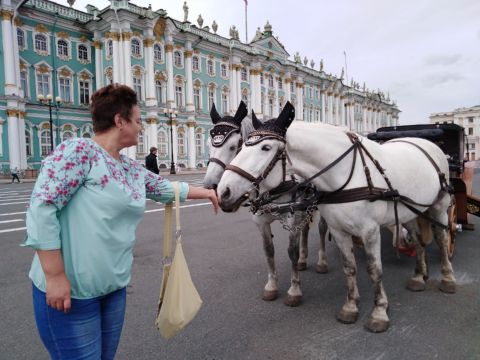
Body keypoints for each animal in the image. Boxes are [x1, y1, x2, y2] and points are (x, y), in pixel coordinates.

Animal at [202, 102, 330, 306]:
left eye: (233, 146)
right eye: (208, 144)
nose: (214, 187)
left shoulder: (292, 216)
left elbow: (291, 251)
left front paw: (294, 290)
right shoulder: (261, 220)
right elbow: (268, 251)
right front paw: (271, 286)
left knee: (322, 229)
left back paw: (321, 263)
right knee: (306, 230)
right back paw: (303, 260)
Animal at [216, 101, 456, 332]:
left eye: (265, 147)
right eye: (243, 146)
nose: (222, 191)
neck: (348, 174)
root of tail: (423, 142)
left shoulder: (370, 231)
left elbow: (374, 270)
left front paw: (379, 312)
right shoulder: (339, 230)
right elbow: (349, 267)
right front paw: (350, 306)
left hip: (440, 206)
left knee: (442, 237)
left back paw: (447, 278)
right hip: (412, 210)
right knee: (418, 238)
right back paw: (418, 276)